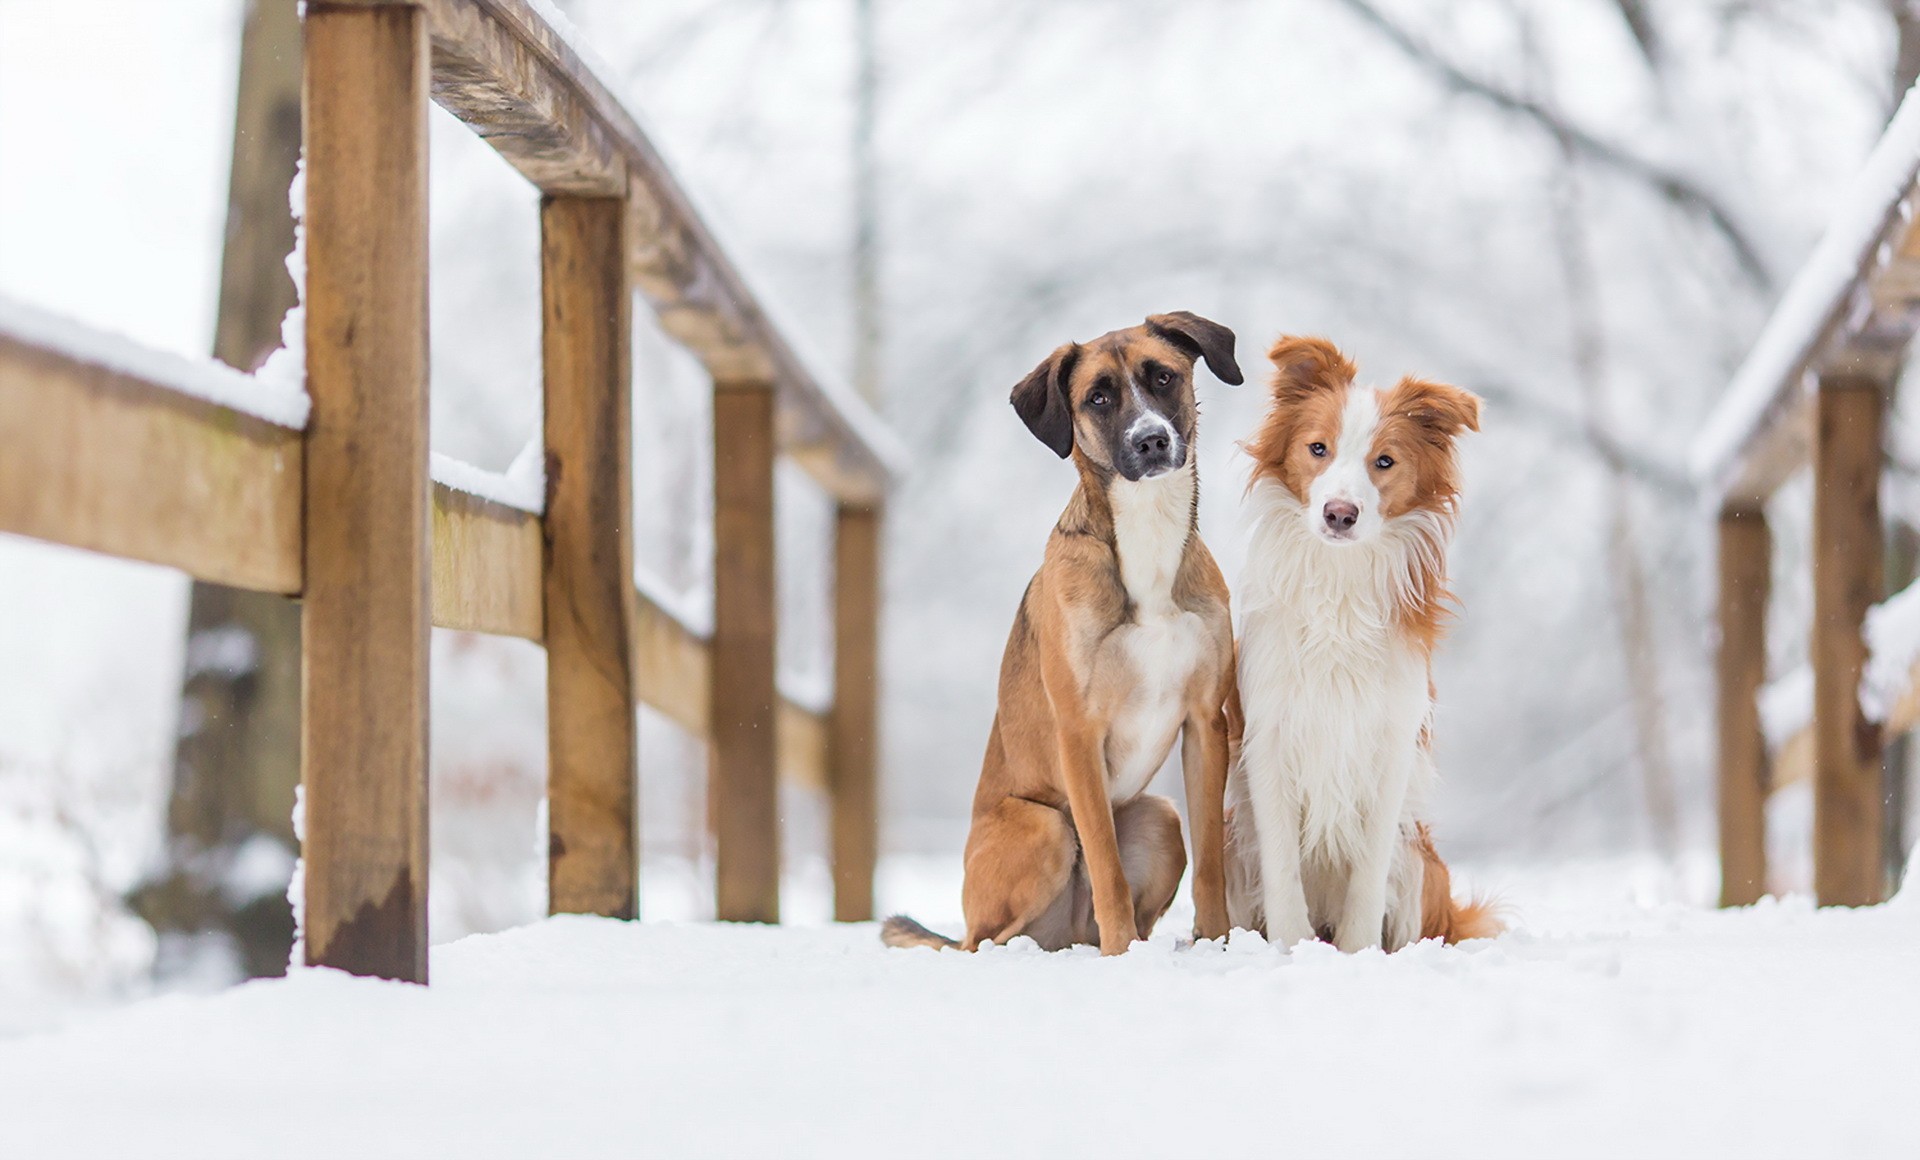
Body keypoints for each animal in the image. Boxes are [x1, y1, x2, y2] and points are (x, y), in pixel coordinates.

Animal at [887, 313, 1244, 956]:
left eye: (1163, 377)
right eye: (1097, 398)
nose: (1151, 441)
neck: (1146, 536)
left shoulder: (1206, 723)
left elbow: (1210, 866)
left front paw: (1218, 945)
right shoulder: (1079, 732)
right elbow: (1105, 865)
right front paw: (1123, 955)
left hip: (1158, 816)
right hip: (1045, 826)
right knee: (986, 942)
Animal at [1228, 336, 1497, 952]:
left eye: (1385, 461)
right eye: (1317, 449)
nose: (1340, 513)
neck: (1339, 583)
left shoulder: (1391, 741)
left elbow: (1369, 869)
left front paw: (1358, 952)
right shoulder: (1269, 735)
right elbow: (1281, 862)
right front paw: (1290, 946)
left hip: (1421, 861)